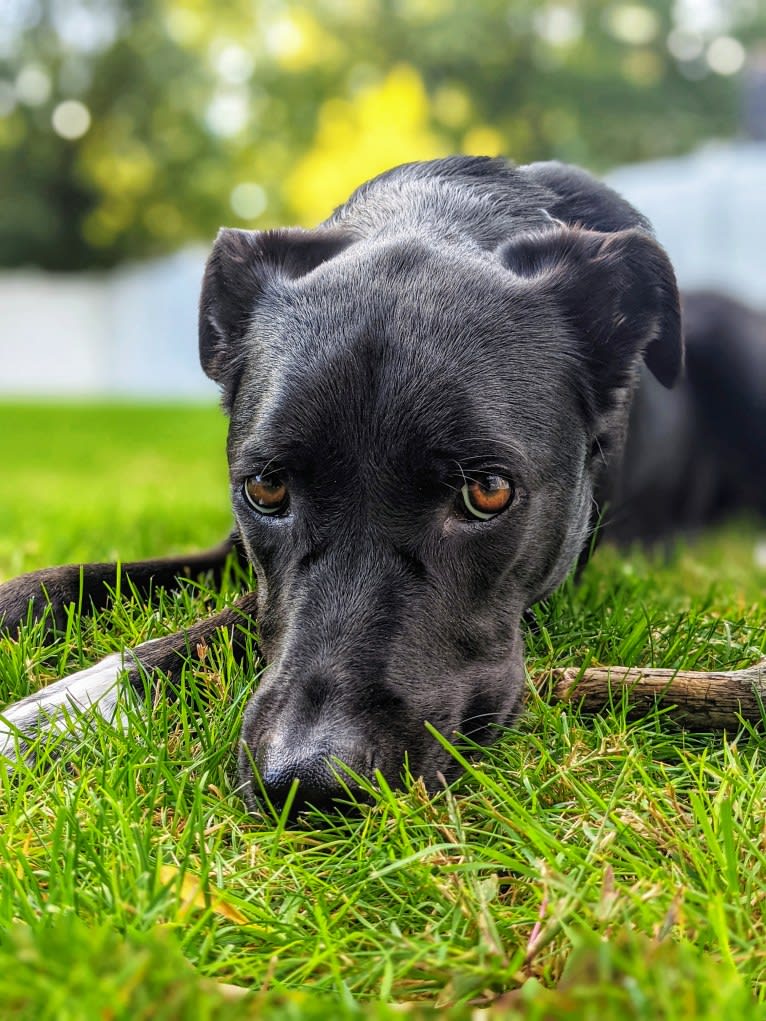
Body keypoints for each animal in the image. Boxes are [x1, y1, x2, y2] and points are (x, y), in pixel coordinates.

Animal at [0, 157, 759, 812]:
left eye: (488, 491)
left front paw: (63, 712)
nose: (307, 782)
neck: (437, 210)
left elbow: (226, 625)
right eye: (266, 489)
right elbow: (69, 580)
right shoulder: (233, 547)